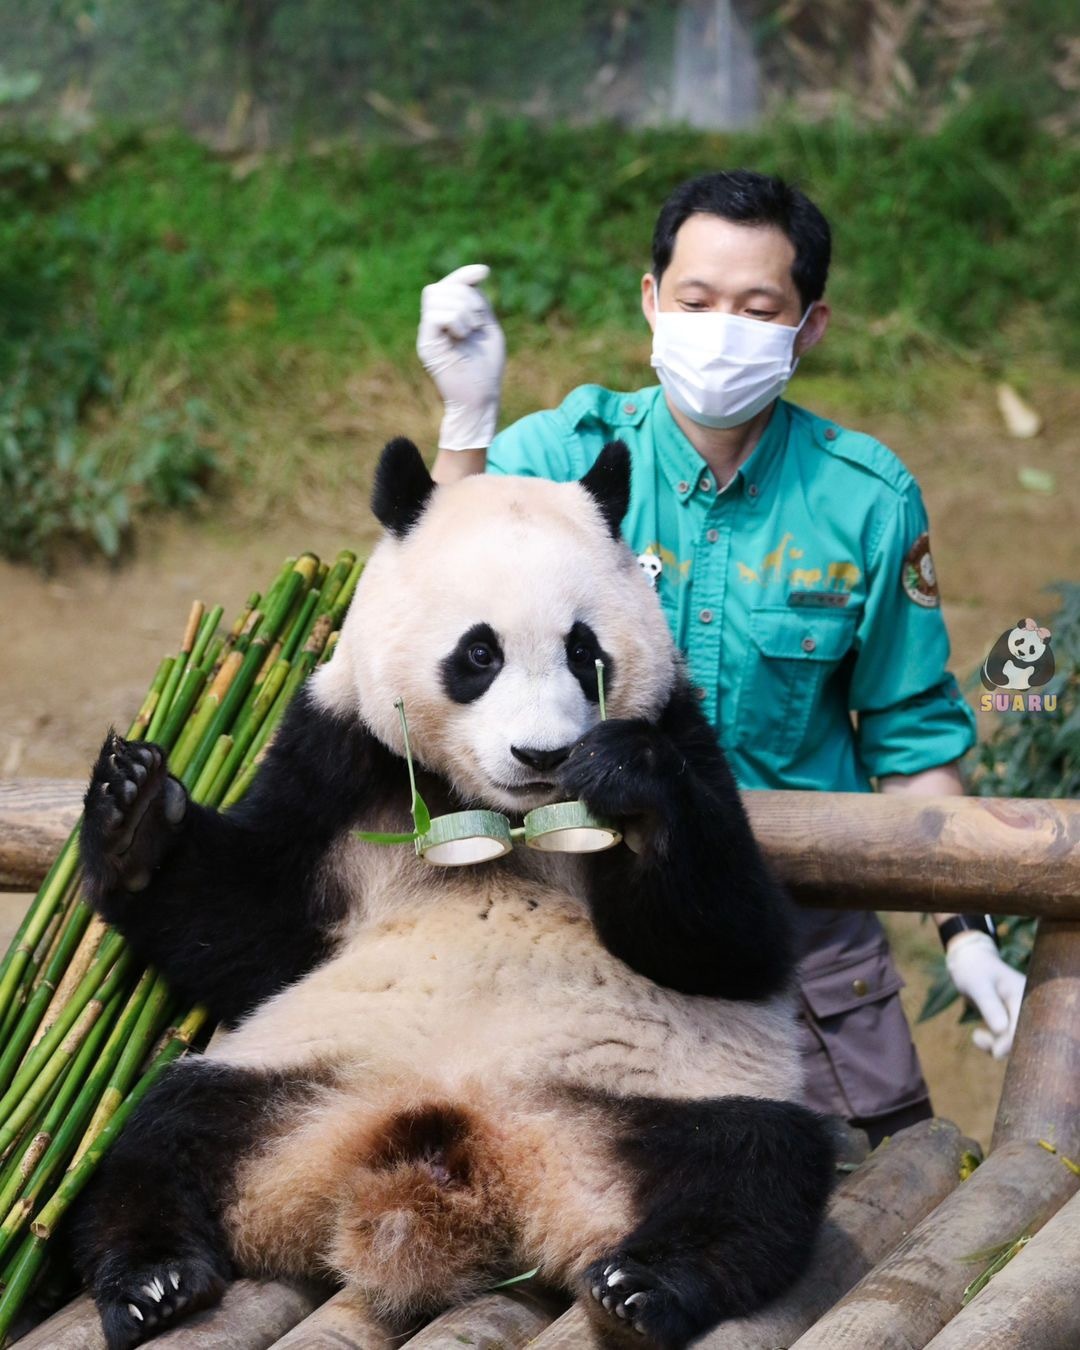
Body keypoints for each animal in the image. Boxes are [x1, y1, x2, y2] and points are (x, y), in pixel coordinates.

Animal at [69, 437, 837, 1344]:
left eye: (584, 650)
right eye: (480, 654)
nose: (543, 756)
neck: (500, 815)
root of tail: (464, 1153)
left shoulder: (682, 725)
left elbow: (737, 943)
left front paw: (627, 780)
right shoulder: (339, 750)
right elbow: (249, 924)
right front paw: (135, 808)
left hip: (661, 1095)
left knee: (752, 1167)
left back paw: (645, 1285)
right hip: (294, 1079)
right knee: (164, 1134)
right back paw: (154, 1279)